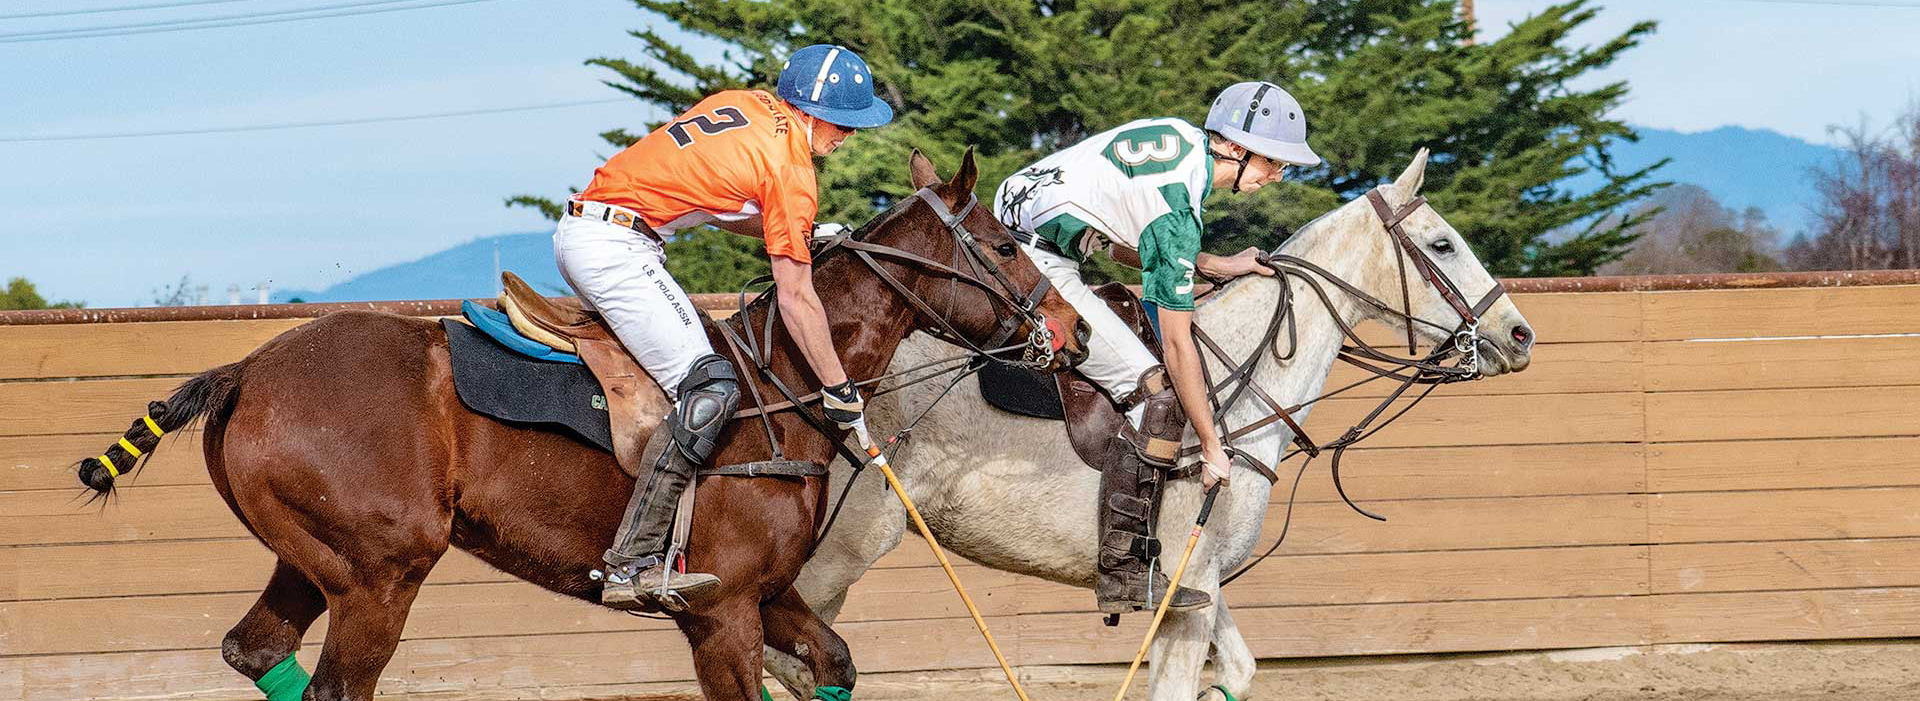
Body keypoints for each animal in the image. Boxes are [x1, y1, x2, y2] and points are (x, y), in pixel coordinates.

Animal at [74, 149, 1090, 699]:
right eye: (1003, 246)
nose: (1073, 333)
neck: (787, 381)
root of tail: (246, 368)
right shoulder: (717, 609)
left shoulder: (765, 592)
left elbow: (833, 657)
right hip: (381, 571)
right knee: (339, 682)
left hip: (317, 556)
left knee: (255, 649)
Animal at [764, 148, 1528, 699]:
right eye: (1442, 244)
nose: (1520, 335)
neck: (1239, 392)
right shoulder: (1185, 600)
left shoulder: (1200, 580)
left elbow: (1240, 670)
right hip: (842, 547)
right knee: (793, 657)